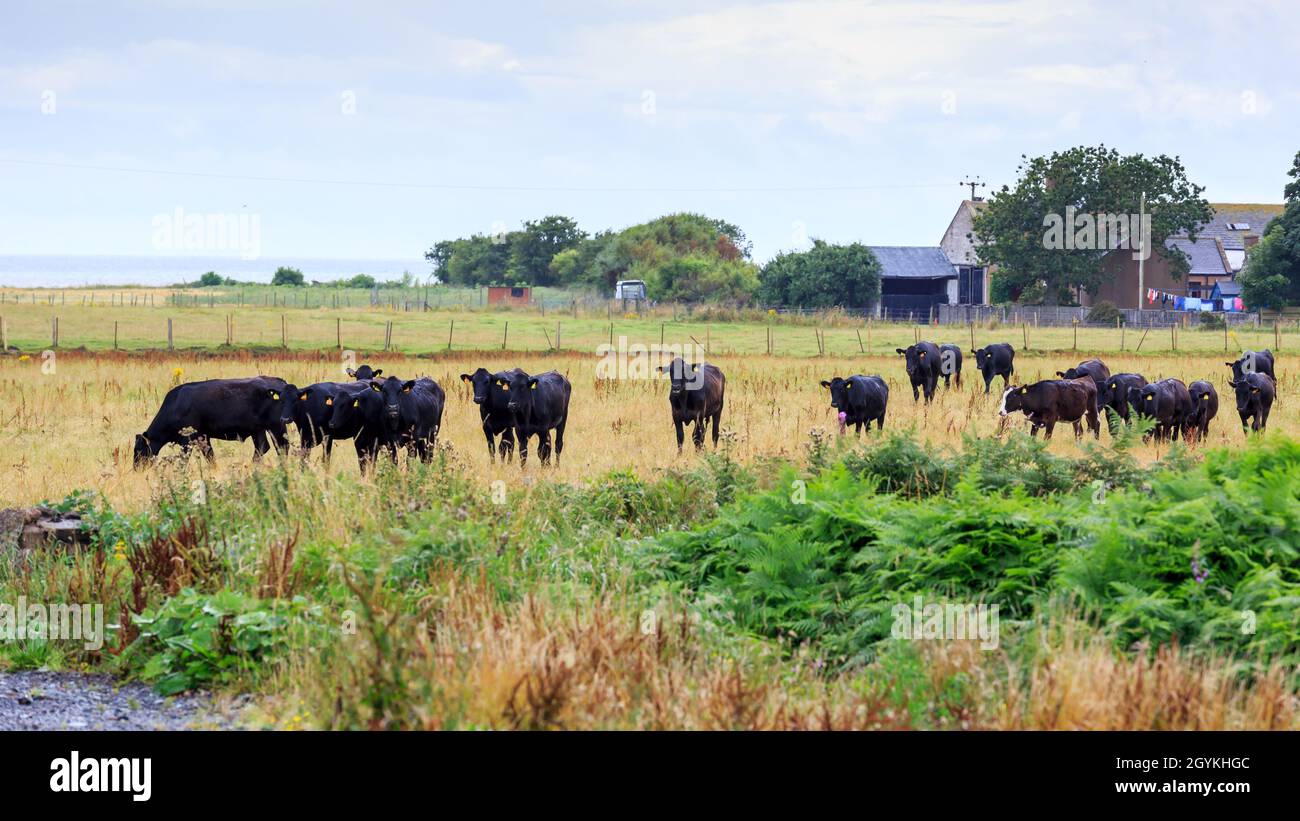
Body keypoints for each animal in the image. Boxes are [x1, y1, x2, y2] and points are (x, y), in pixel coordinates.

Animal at [133, 376, 293, 466]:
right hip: (258, 430)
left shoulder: (188, 439)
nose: (136, 469)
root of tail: (279, 382)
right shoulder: (203, 436)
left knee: (282, 447)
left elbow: (184, 460)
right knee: (262, 447)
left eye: (139, 450)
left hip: (276, 426)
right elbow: (210, 456)